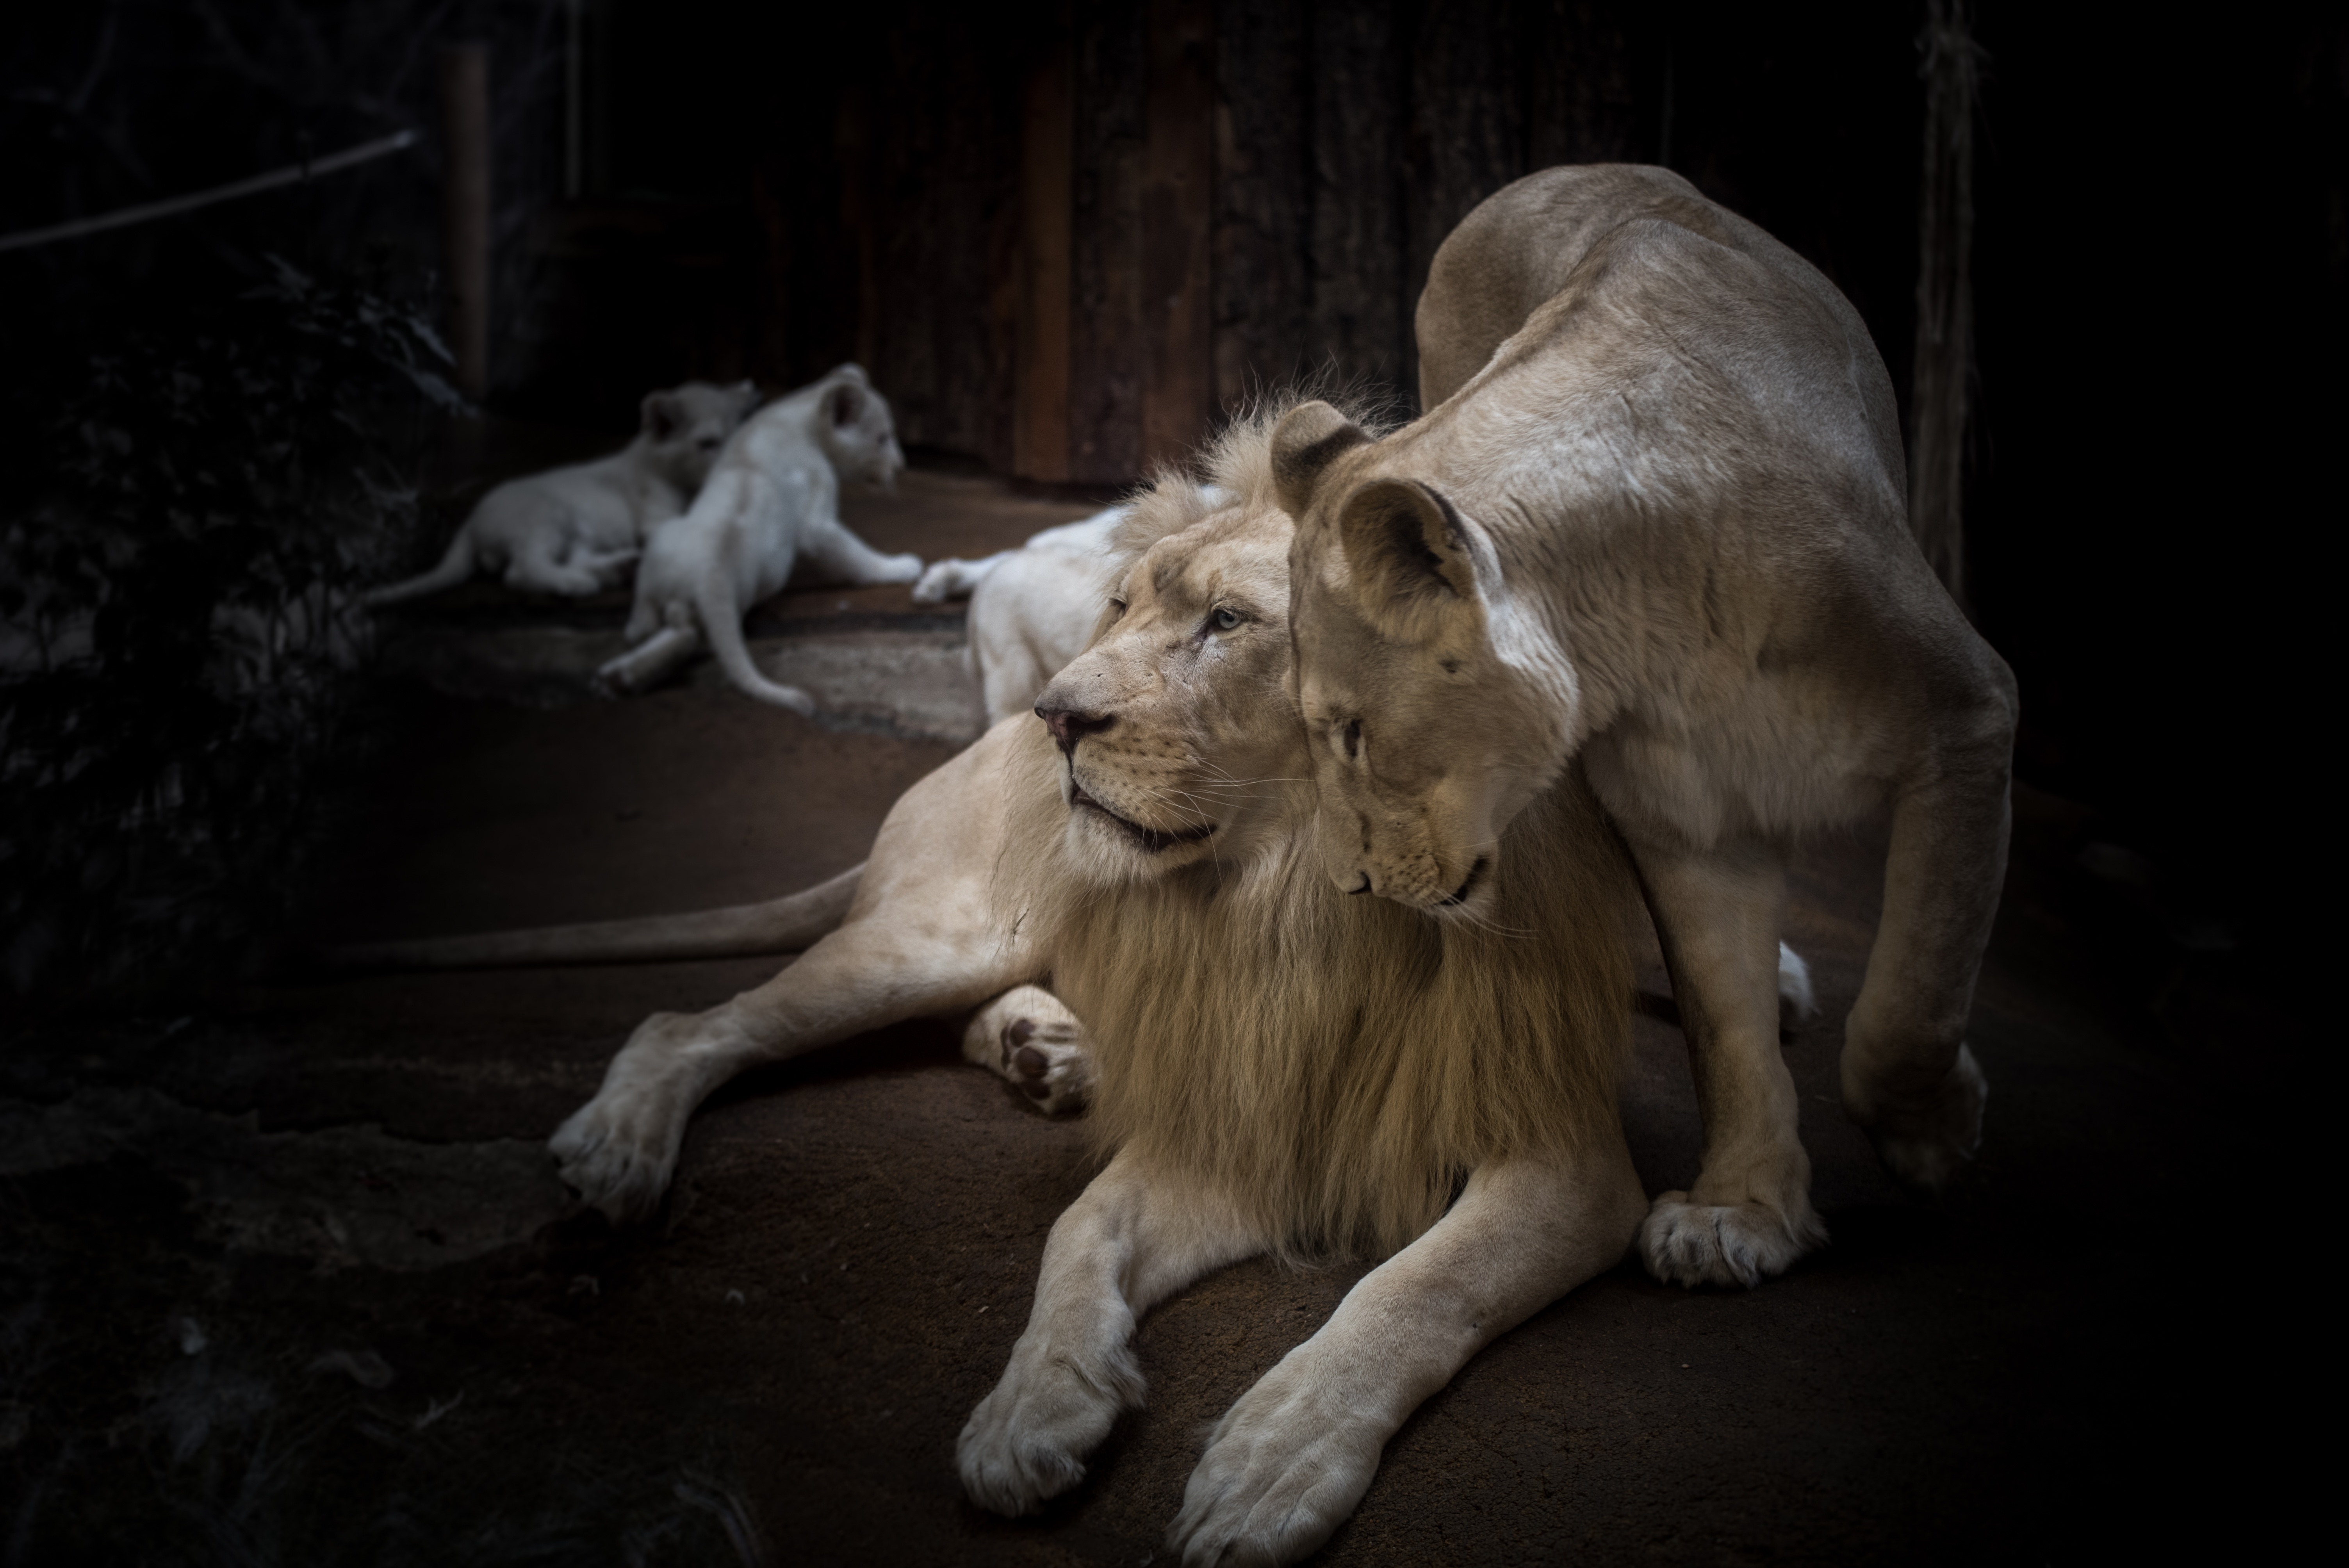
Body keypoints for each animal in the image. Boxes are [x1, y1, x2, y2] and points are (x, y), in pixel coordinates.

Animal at [362, 380, 756, 606]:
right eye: (708, 444)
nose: (737, 463)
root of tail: (471, 523)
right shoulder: (657, 515)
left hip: (580, 534)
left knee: (573, 558)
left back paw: (619, 568)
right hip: (547, 518)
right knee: (521, 571)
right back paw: (577, 584)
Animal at [597, 361, 925, 709]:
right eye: (883, 439)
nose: (901, 466)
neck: (792, 413)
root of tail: (711, 571)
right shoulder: (817, 514)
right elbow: (854, 555)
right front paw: (899, 567)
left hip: (665, 542)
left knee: (649, 621)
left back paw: (623, 665)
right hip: (767, 578)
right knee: (689, 635)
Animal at [1268, 162, 2020, 1286]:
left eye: (1353, 733)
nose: (1349, 886)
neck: (1648, 619)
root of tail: (1555, 172)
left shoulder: (1965, 715)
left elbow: (1909, 994)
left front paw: (1934, 1131)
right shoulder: (1686, 820)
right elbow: (1726, 1025)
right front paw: (1739, 1211)